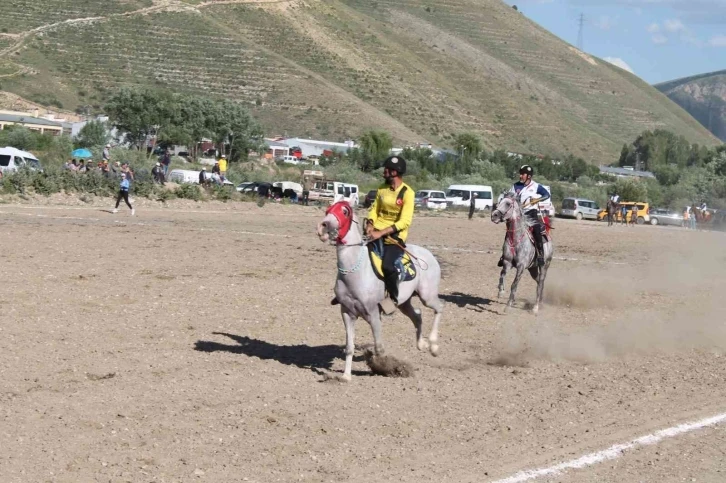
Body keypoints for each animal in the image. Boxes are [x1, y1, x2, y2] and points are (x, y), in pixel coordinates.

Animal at [318, 201, 444, 382]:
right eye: (328, 210)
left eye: (344, 211)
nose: (323, 226)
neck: (356, 270)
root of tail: (429, 255)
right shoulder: (347, 313)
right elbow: (349, 347)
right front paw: (346, 376)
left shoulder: (373, 314)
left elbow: (378, 348)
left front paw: (383, 367)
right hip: (404, 303)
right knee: (418, 316)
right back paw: (422, 344)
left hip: (427, 295)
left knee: (439, 308)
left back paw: (433, 346)